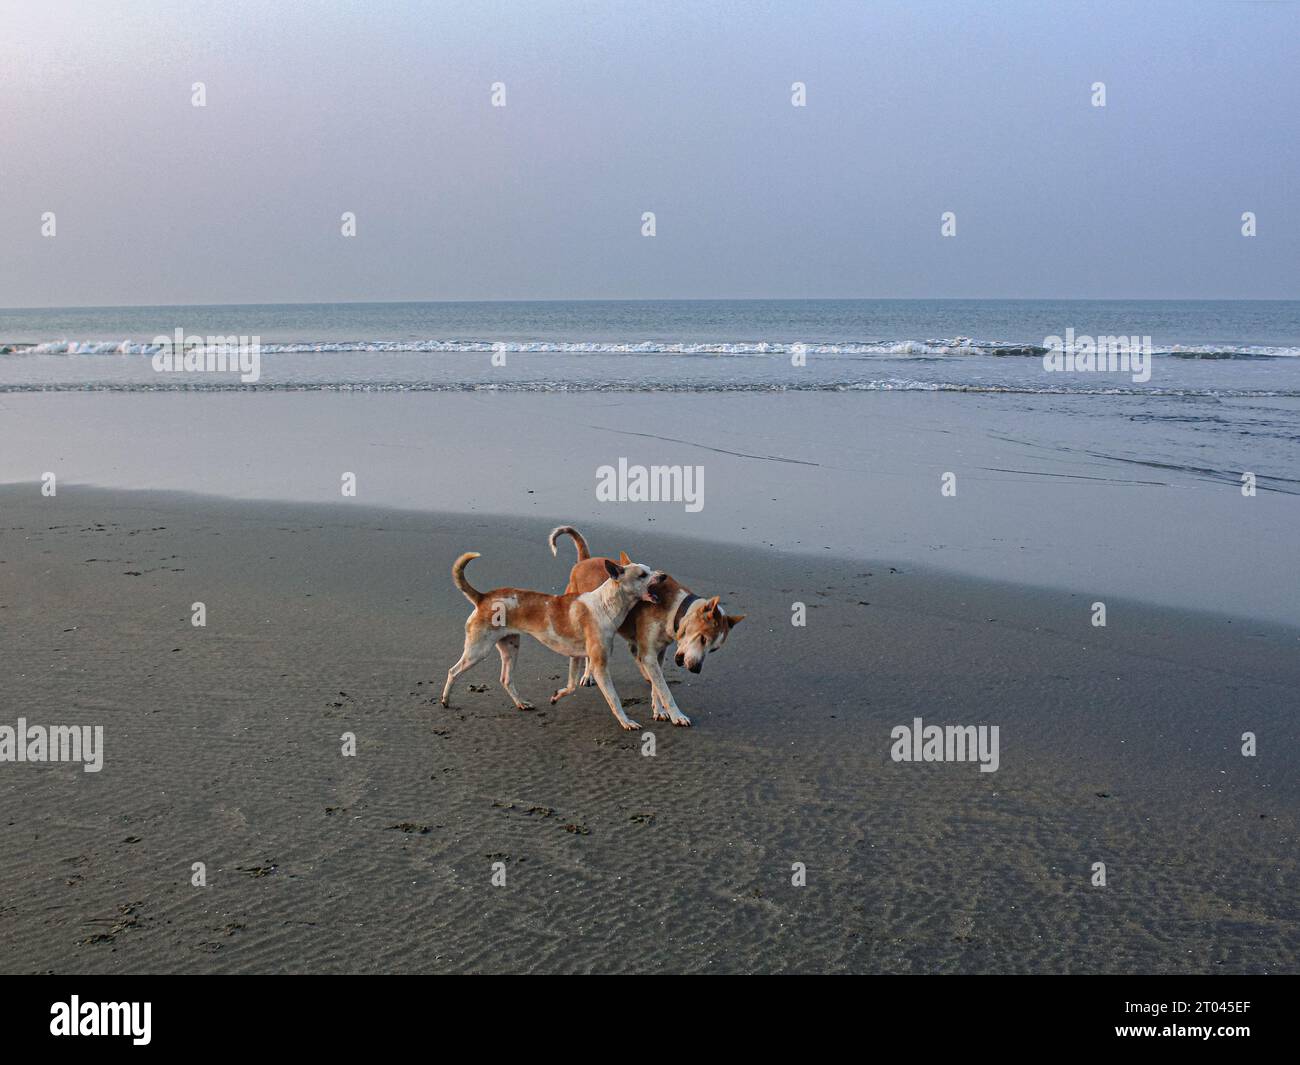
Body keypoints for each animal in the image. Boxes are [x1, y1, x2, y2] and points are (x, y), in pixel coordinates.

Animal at [441, 548, 665, 733]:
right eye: (642, 574)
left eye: (649, 569)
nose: (663, 575)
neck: (605, 605)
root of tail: (483, 597)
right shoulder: (600, 666)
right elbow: (614, 699)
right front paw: (626, 722)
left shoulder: (576, 657)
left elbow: (572, 685)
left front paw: (556, 696)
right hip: (478, 651)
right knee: (453, 671)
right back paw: (445, 700)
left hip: (510, 647)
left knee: (506, 679)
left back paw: (521, 703)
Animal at [543, 525, 743, 723]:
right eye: (702, 639)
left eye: (714, 649)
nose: (696, 669)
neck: (676, 608)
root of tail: (583, 561)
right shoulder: (650, 653)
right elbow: (664, 690)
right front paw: (676, 715)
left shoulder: (658, 653)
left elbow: (657, 685)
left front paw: (659, 710)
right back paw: (587, 675)